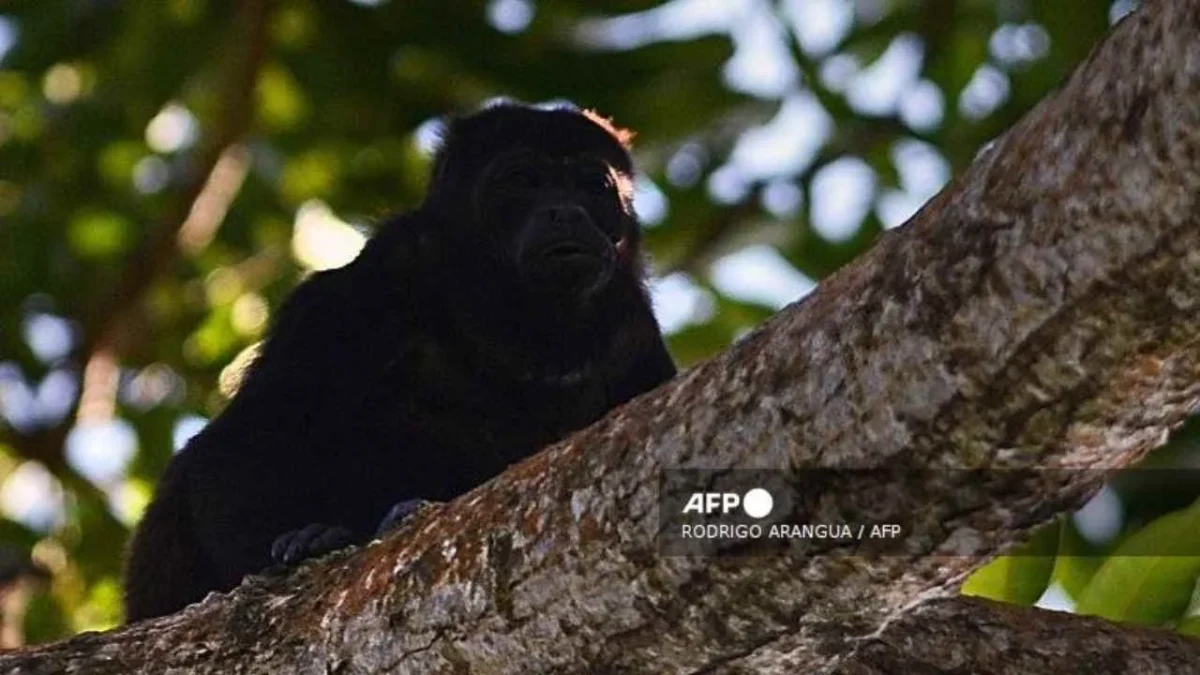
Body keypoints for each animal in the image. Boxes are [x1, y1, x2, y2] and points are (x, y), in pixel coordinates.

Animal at [122, 102, 677, 621]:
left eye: (592, 185)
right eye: (521, 179)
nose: (567, 211)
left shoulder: (634, 336)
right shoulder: (367, 284)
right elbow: (239, 443)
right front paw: (301, 545)